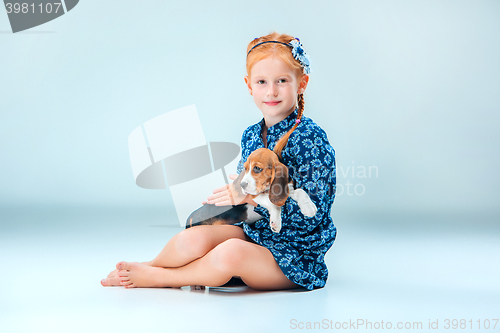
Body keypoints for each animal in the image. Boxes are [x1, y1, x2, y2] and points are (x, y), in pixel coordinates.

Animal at [186, 147, 318, 231]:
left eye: (257, 168)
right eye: (245, 168)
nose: (242, 185)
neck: (267, 188)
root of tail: (191, 217)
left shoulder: (286, 191)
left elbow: (300, 191)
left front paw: (309, 207)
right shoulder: (254, 195)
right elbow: (273, 204)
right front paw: (276, 221)